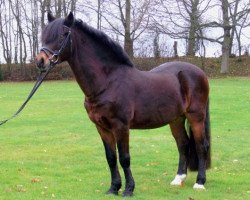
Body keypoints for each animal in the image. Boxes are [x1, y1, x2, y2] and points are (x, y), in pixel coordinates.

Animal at [35, 12, 211, 197]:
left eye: (63, 34)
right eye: (44, 35)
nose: (40, 61)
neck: (108, 82)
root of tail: (199, 72)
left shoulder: (121, 126)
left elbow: (125, 158)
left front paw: (128, 189)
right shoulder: (102, 127)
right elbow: (111, 158)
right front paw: (113, 188)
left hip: (196, 116)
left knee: (201, 146)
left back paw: (200, 182)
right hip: (176, 119)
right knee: (183, 144)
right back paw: (178, 179)